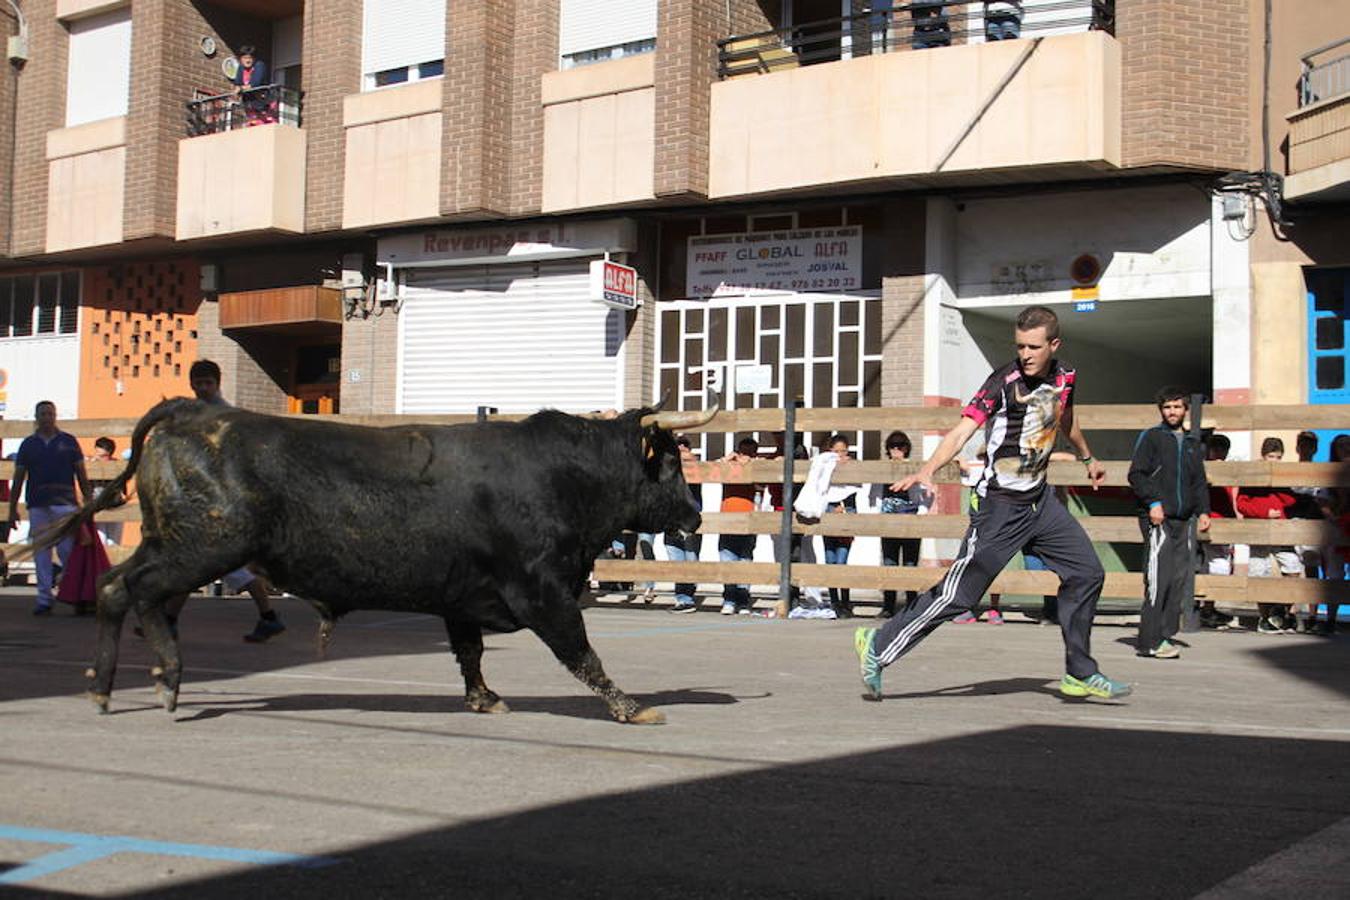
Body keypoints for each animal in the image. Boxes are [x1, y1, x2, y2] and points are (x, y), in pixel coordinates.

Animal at [29, 399, 718, 723]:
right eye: (672, 463)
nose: (695, 515)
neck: (564, 475)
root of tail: (195, 412)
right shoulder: (542, 589)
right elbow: (581, 651)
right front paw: (632, 707)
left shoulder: (462, 594)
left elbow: (470, 652)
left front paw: (484, 699)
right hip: (200, 547)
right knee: (139, 593)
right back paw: (165, 678)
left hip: (174, 543)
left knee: (116, 587)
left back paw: (105, 688)